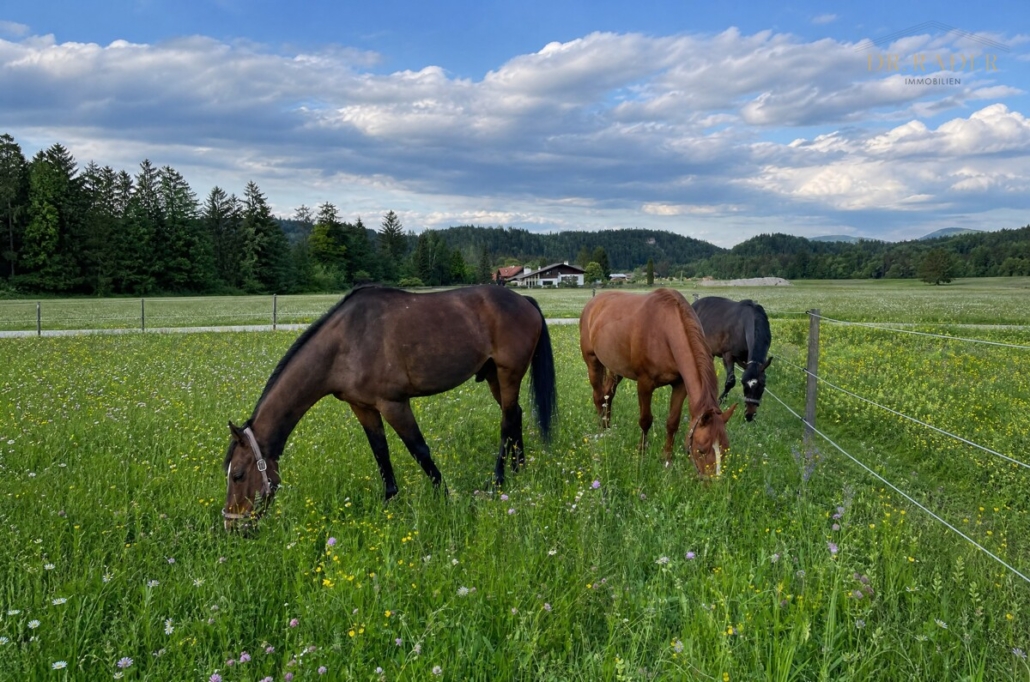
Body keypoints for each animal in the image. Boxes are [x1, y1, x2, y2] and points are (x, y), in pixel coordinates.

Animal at [222, 284, 558, 531]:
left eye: (237, 474)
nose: (232, 526)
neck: (345, 343)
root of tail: (525, 300)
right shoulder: (363, 406)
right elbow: (380, 452)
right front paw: (389, 500)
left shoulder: (394, 404)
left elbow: (419, 449)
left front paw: (445, 497)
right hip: (493, 376)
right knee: (515, 416)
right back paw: (519, 469)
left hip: (508, 373)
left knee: (507, 421)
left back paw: (499, 478)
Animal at [578, 288, 736, 477]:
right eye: (701, 449)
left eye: (725, 449)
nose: (712, 481)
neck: (664, 332)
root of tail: (593, 302)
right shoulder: (645, 384)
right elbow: (645, 420)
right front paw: (641, 453)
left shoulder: (680, 385)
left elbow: (672, 422)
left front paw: (666, 459)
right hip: (592, 361)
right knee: (598, 397)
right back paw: (601, 431)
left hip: (616, 367)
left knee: (608, 395)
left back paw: (608, 427)